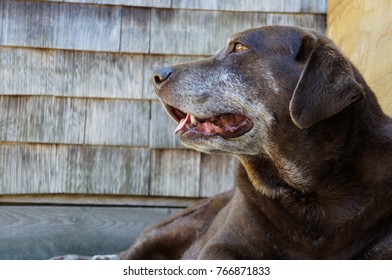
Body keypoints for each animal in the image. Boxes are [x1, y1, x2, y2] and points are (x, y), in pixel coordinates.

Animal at [54, 26, 392, 260]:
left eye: (239, 47)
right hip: (174, 226)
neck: (307, 192)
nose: (156, 74)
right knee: (127, 254)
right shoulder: (221, 247)